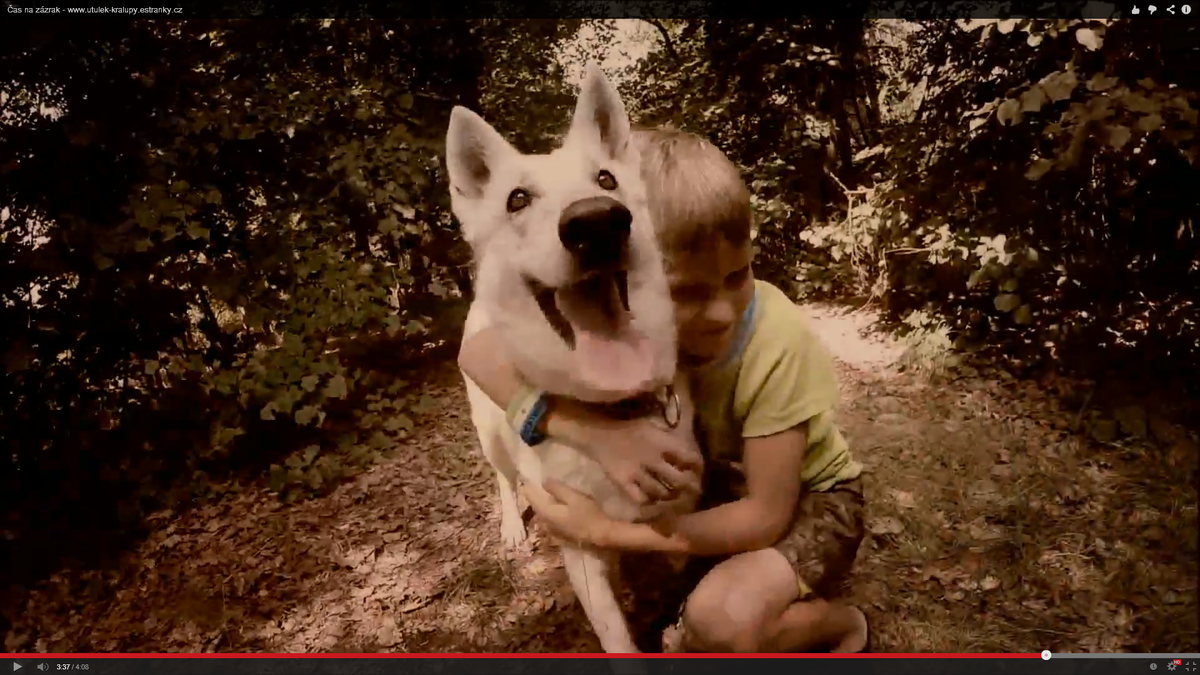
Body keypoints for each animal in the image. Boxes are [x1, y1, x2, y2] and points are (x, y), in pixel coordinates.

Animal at [444, 64, 700, 653]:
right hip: (488, 435)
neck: (614, 412)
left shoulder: (679, 520)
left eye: (605, 180)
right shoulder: (583, 557)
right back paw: (513, 526)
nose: (597, 223)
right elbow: (619, 640)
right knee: (503, 479)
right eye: (516, 199)